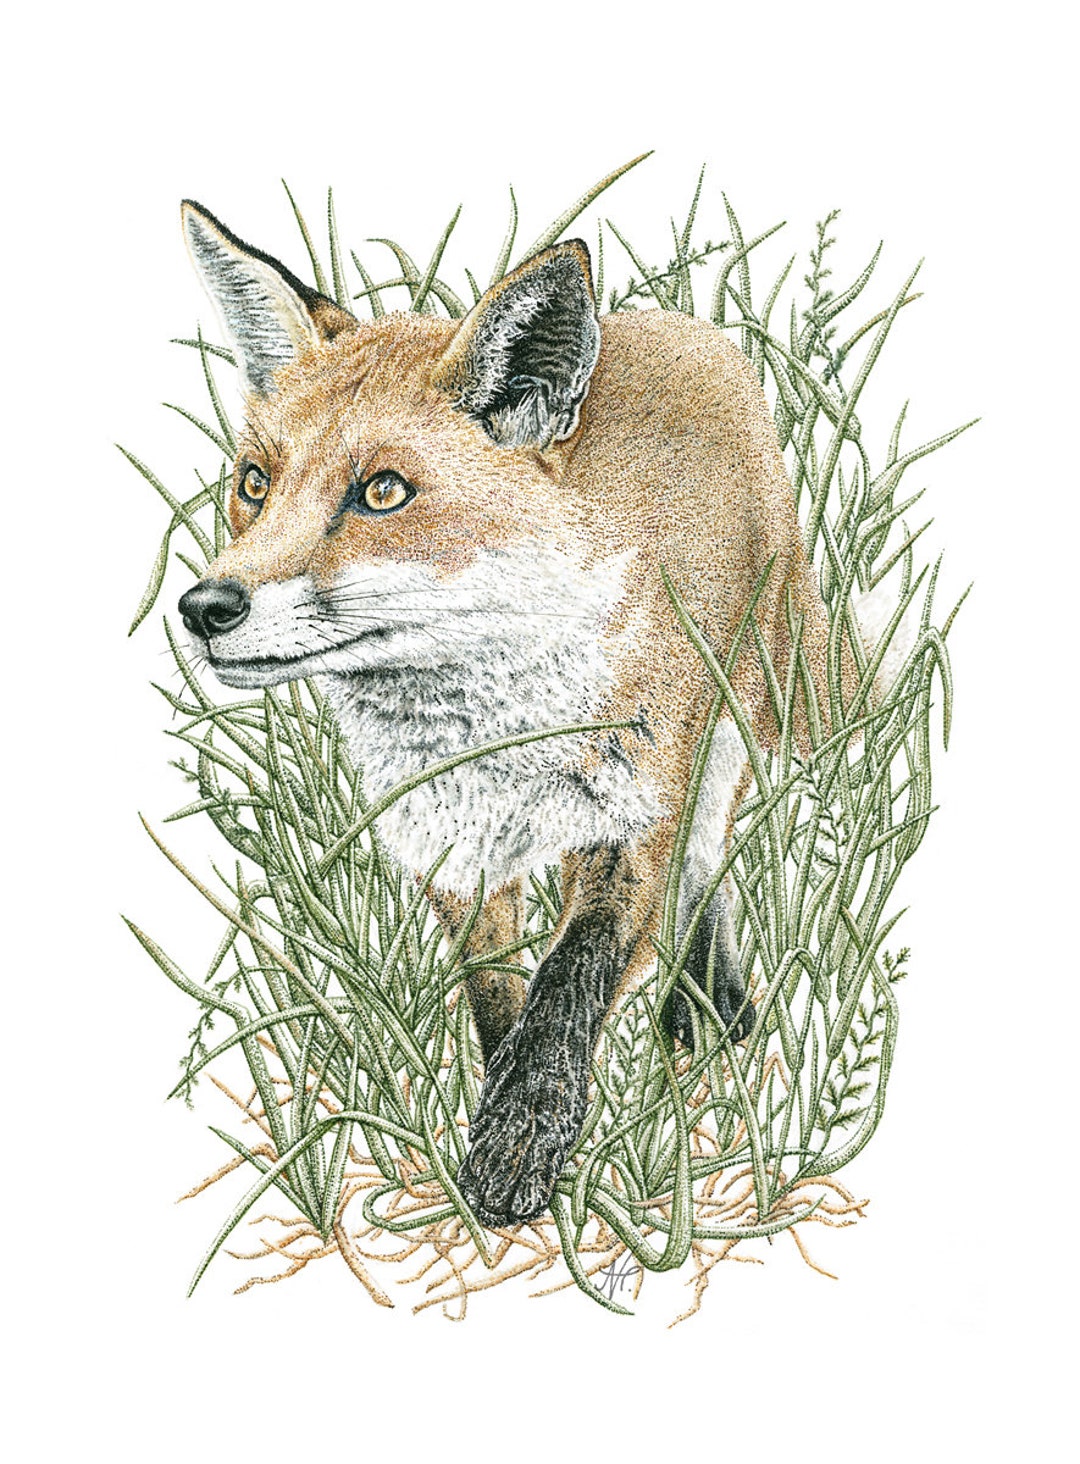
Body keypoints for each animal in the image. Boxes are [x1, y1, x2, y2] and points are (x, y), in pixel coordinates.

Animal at [177, 199, 843, 1228]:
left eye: (382, 492)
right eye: (255, 483)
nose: (206, 608)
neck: (493, 735)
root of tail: (681, 326)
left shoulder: (630, 818)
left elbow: (569, 982)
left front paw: (523, 1142)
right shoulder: (450, 843)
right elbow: (497, 996)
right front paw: (503, 1127)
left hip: (750, 709)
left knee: (709, 853)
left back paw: (712, 1016)